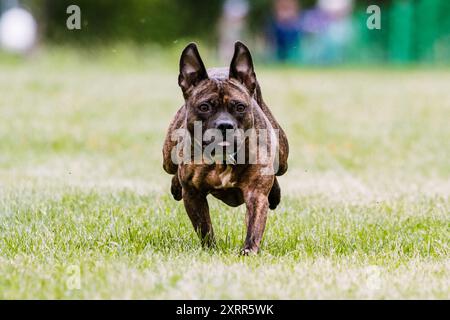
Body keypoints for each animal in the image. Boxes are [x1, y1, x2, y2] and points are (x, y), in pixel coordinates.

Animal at [163, 41, 288, 254]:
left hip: (283, 159)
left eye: (240, 107)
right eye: (204, 107)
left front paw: (249, 250)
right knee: (172, 170)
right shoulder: (193, 195)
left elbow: (254, 225)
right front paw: (210, 249)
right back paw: (175, 185)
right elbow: (204, 227)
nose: (224, 125)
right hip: (167, 159)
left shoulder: (256, 194)